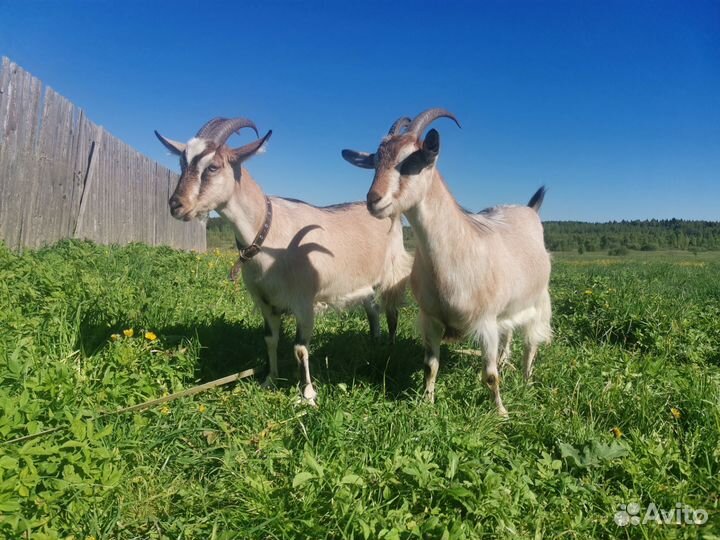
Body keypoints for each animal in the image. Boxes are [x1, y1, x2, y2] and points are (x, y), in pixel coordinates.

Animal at [155, 117, 412, 405]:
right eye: (182, 163)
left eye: (212, 166)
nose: (176, 205)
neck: (269, 234)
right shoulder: (265, 303)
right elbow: (270, 339)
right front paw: (270, 379)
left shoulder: (304, 303)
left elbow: (300, 348)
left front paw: (308, 395)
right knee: (372, 309)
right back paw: (373, 342)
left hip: (393, 273)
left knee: (392, 312)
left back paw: (389, 350)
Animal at [342, 108, 551, 416]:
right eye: (375, 162)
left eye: (413, 161)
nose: (373, 200)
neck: (456, 256)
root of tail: (528, 210)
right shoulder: (430, 318)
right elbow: (430, 366)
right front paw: (426, 403)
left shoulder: (486, 323)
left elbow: (490, 375)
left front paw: (501, 412)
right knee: (510, 334)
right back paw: (507, 362)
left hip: (538, 301)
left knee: (531, 345)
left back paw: (526, 381)